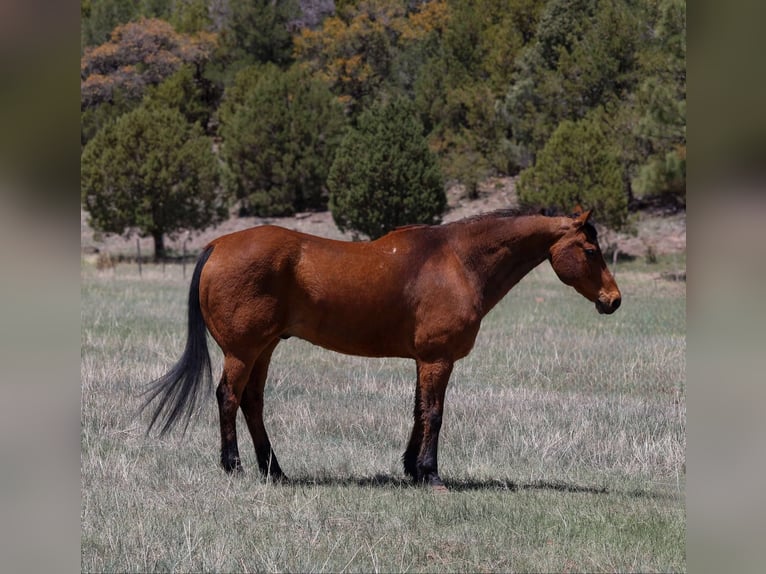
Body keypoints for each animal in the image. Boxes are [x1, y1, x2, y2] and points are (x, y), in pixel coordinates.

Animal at [143, 208, 621, 489]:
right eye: (591, 250)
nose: (613, 300)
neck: (457, 261)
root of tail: (217, 245)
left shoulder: (424, 360)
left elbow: (418, 412)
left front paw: (411, 469)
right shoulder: (438, 359)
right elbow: (434, 414)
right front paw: (430, 474)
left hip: (263, 350)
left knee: (252, 403)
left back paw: (274, 470)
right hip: (243, 351)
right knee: (228, 398)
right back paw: (235, 466)